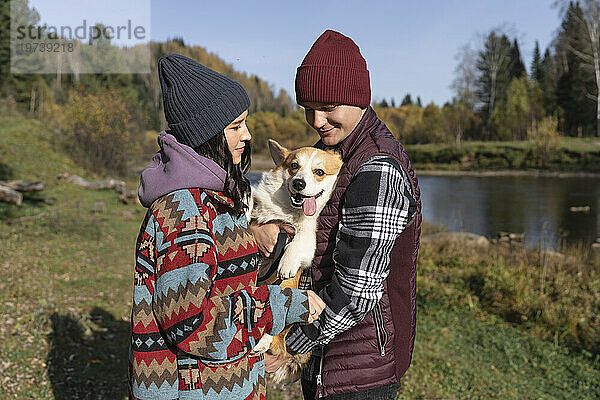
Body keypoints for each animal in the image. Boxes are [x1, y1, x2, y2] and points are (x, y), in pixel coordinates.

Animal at [247, 139, 342, 382]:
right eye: (294, 166)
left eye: (319, 172)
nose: (299, 183)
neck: (288, 212)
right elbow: (250, 207)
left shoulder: (308, 237)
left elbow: (298, 241)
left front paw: (287, 263)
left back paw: (262, 341)